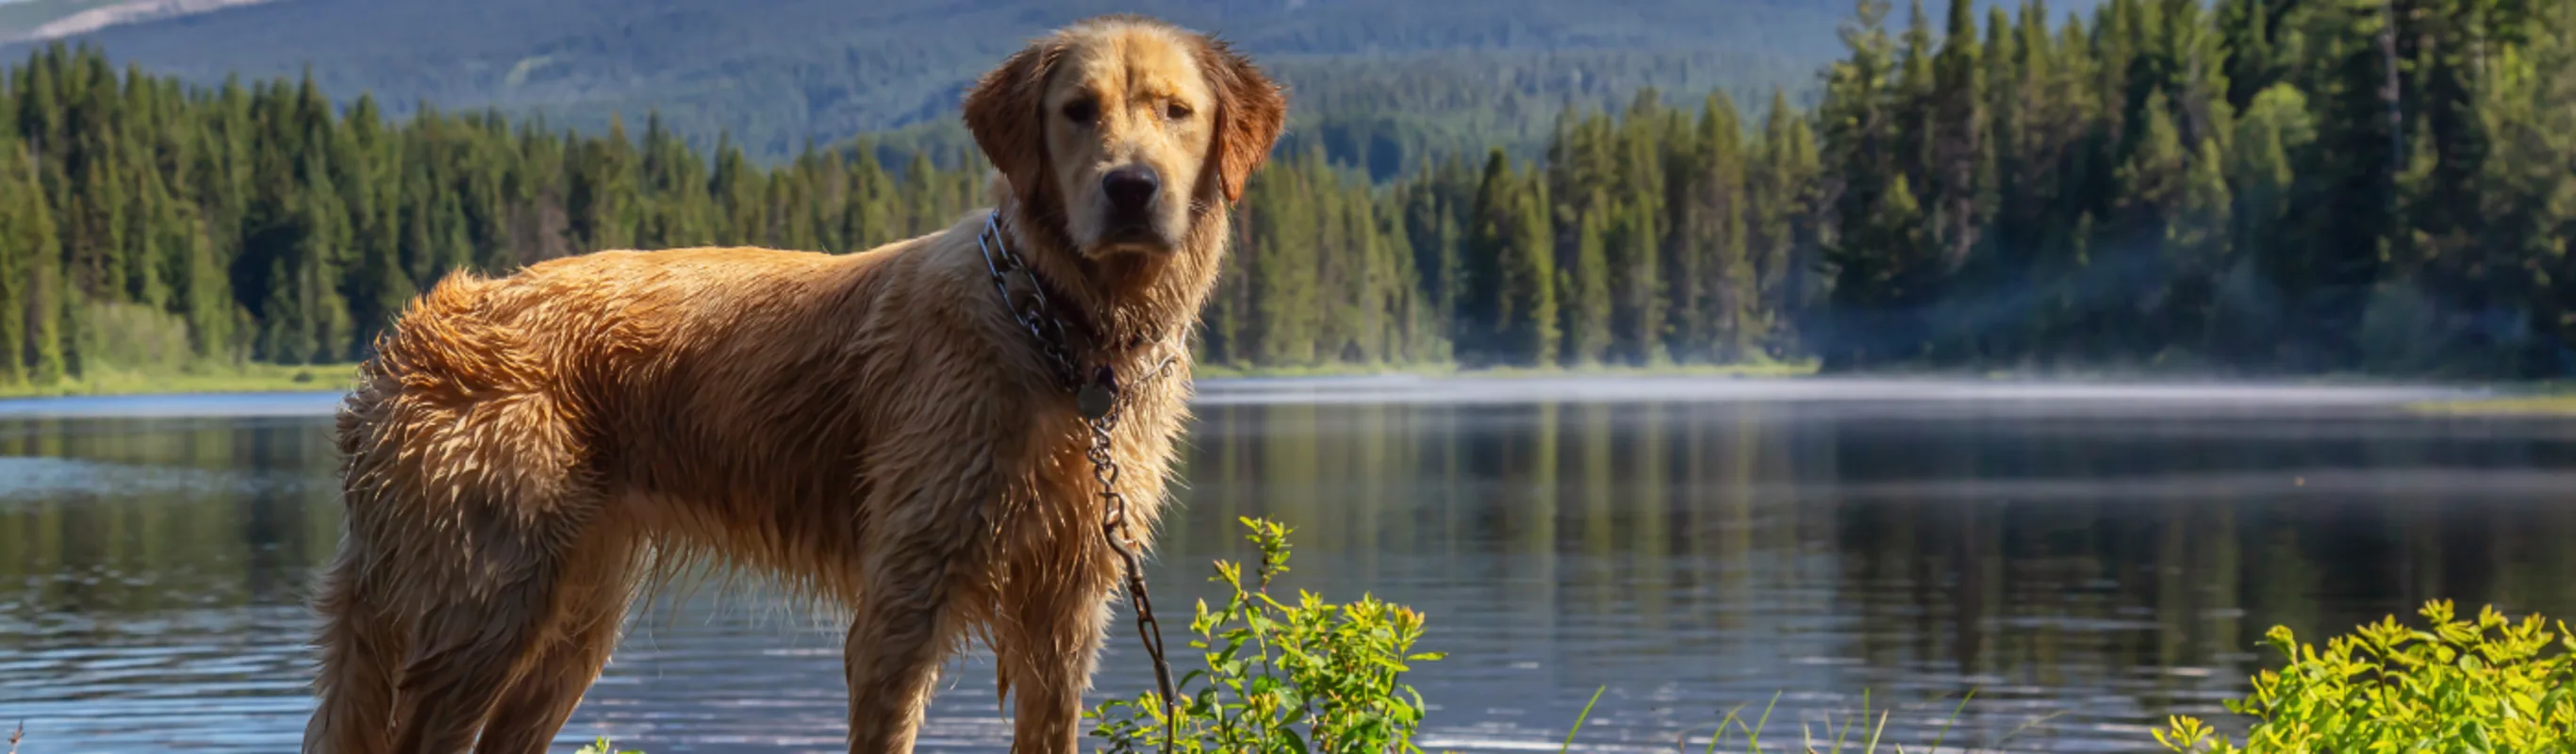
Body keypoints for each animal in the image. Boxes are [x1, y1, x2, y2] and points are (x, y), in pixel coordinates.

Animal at [301, 17, 1288, 751]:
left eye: (1176, 110)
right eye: (1079, 110)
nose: (1132, 188)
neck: (1057, 329)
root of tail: (413, 333)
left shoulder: (1068, 605)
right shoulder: (905, 594)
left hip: (573, 610)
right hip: (489, 592)